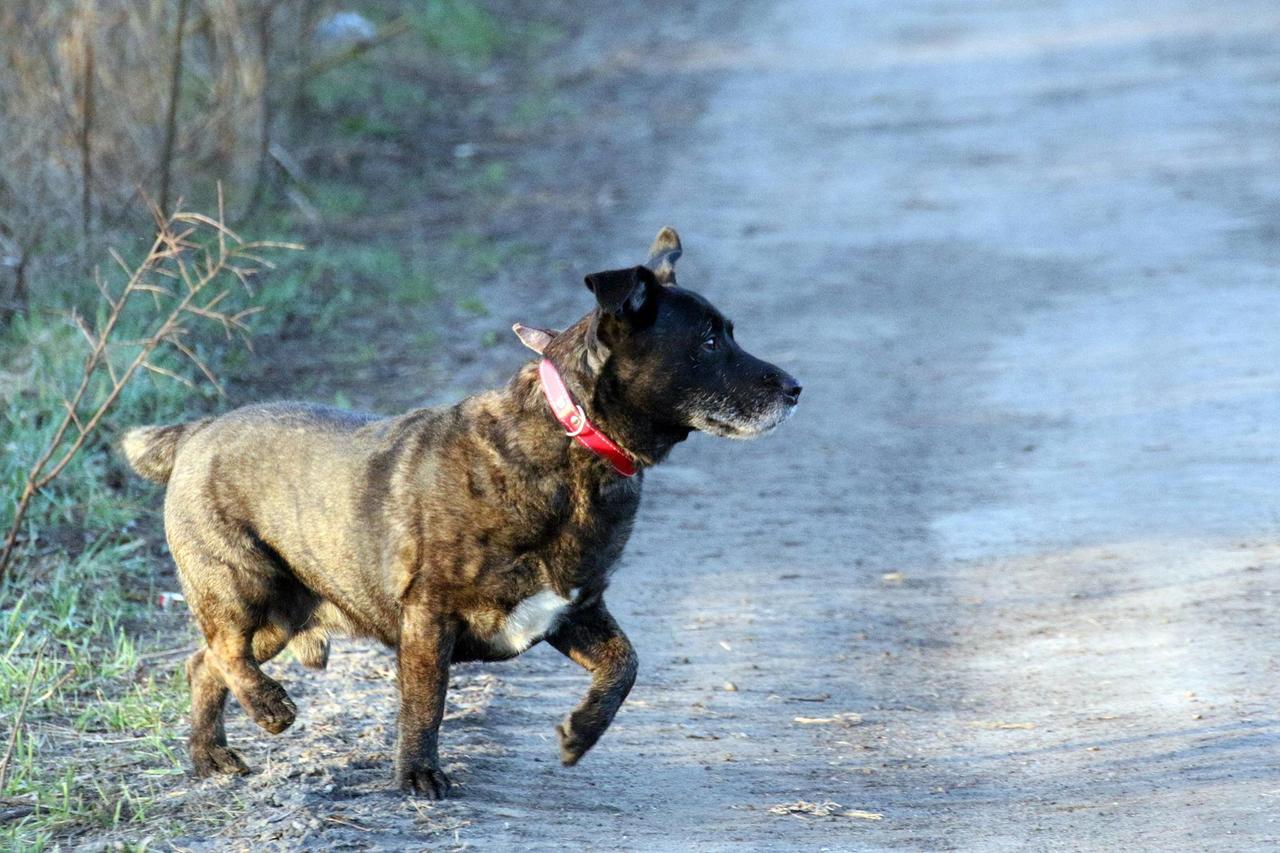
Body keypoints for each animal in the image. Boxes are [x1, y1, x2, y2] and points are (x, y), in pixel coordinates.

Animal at [120, 227, 798, 799]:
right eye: (708, 340)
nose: (795, 388)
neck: (573, 444)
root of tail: (195, 432)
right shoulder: (430, 614)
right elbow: (426, 703)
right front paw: (419, 775)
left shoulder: (573, 610)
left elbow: (625, 666)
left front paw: (579, 734)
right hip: (242, 584)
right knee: (225, 649)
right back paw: (269, 707)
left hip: (284, 613)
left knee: (202, 663)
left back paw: (210, 756)